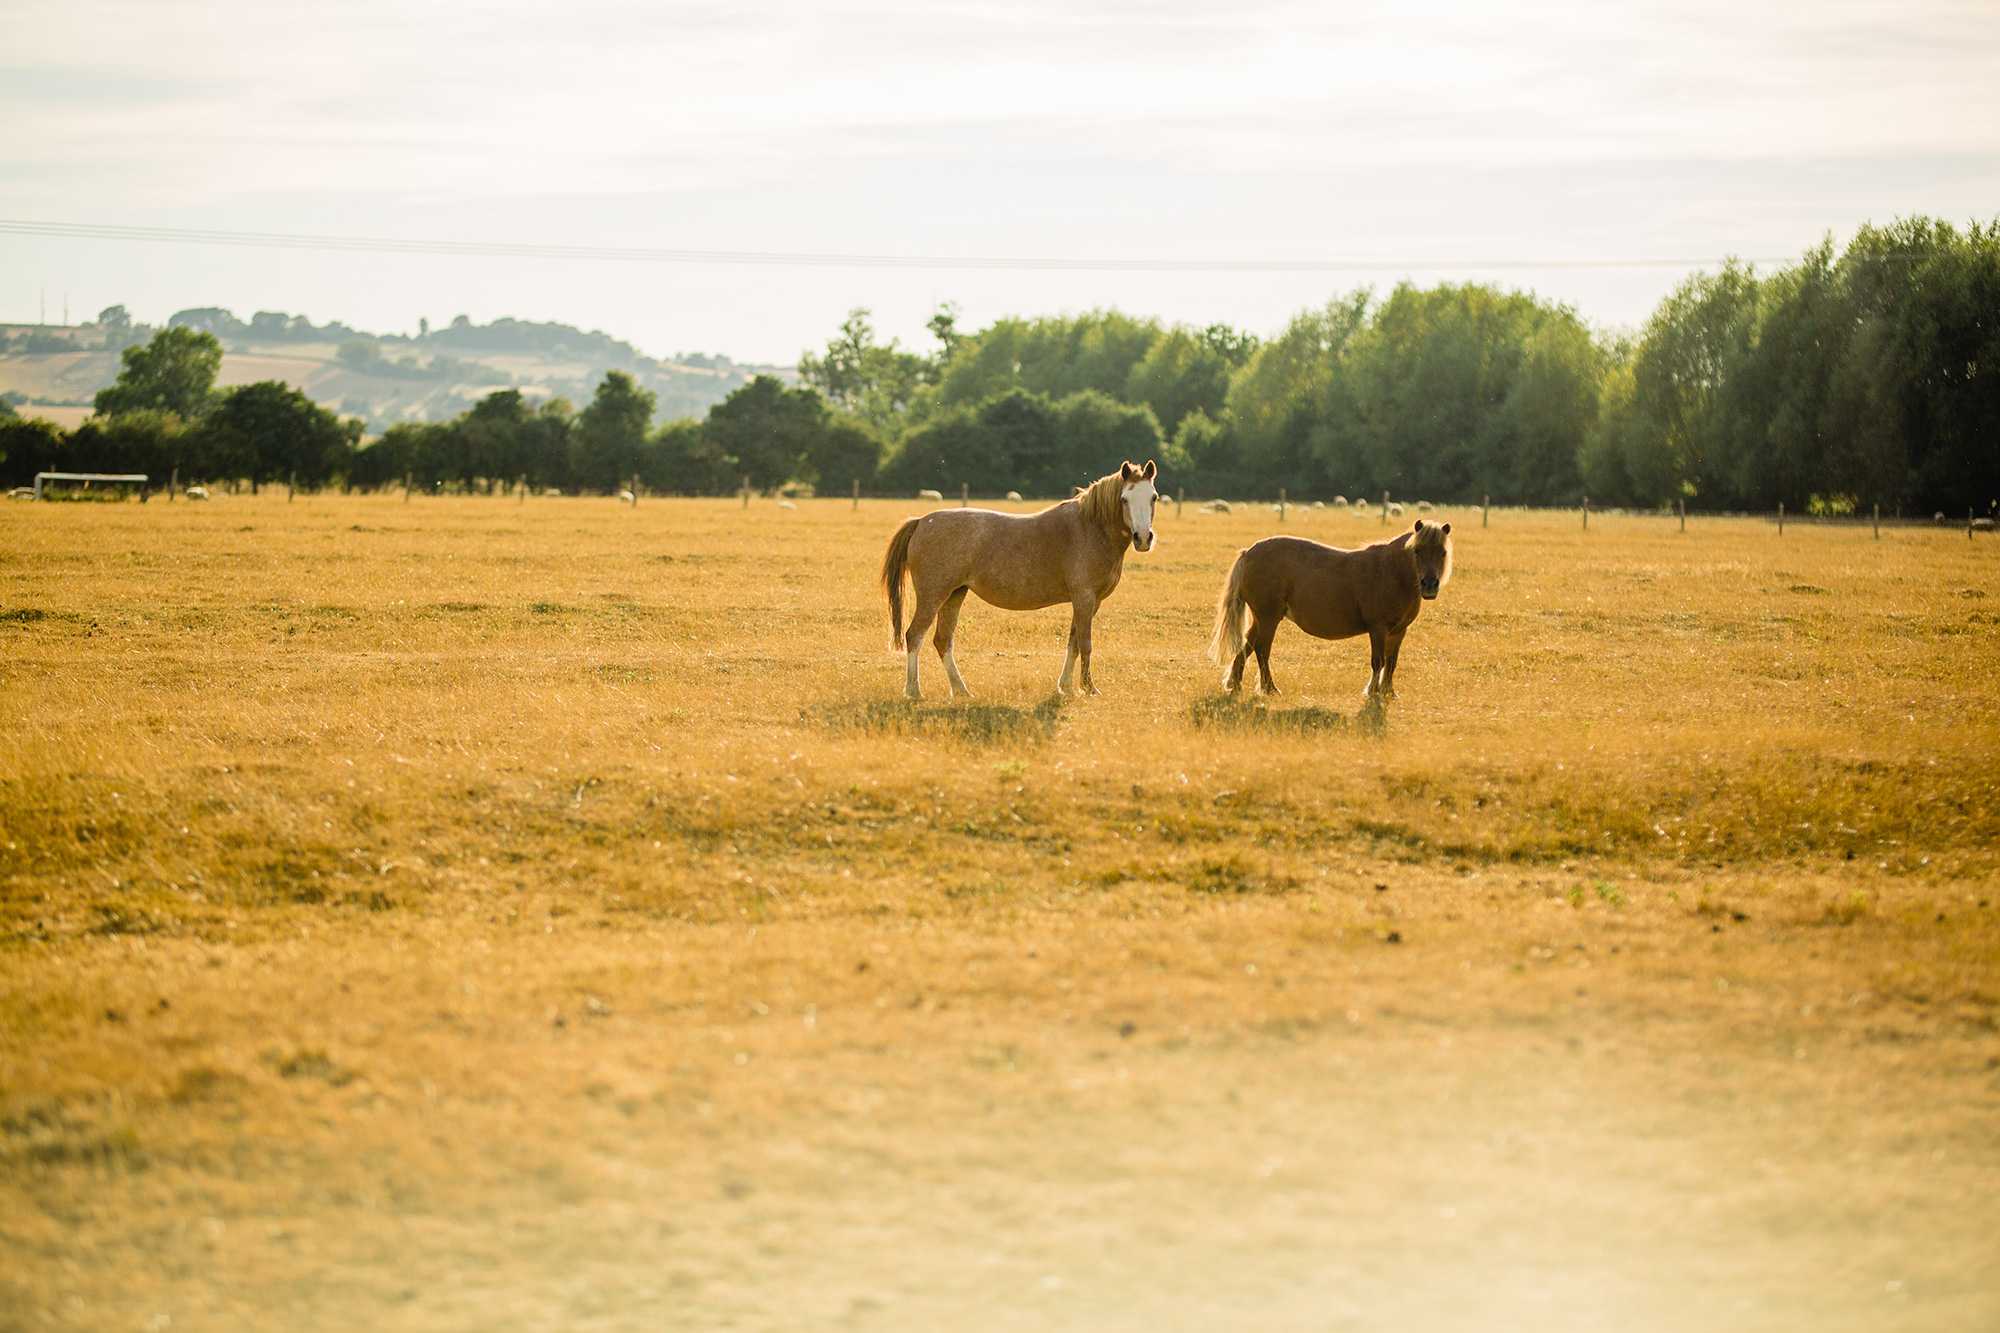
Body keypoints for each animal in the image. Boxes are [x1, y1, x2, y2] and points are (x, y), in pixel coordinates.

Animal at [876, 460, 1160, 696]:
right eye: (1124, 499)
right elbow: (1085, 643)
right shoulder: (1084, 597)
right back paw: (914, 690)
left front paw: (1066, 687)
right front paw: (1089, 688)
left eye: (1154, 497)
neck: (1091, 528)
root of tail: (922, 521)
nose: (1143, 538)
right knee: (914, 636)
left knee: (943, 640)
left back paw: (961, 690)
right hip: (933, 596)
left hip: (954, 595)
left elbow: (1073, 643)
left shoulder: (1089, 601)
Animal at [1200, 520, 1456, 700]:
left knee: (1248, 646)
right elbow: (1378, 661)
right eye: (1417, 551)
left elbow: (1392, 662)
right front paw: (1373, 691)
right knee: (1262, 650)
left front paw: (1389, 692)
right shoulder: (1378, 629)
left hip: (1262, 619)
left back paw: (1234, 684)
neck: (1392, 572)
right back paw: (1270, 688)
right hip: (1269, 618)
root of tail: (1248, 553)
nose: (1429, 585)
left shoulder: (1398, 631)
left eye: (1442, 552)